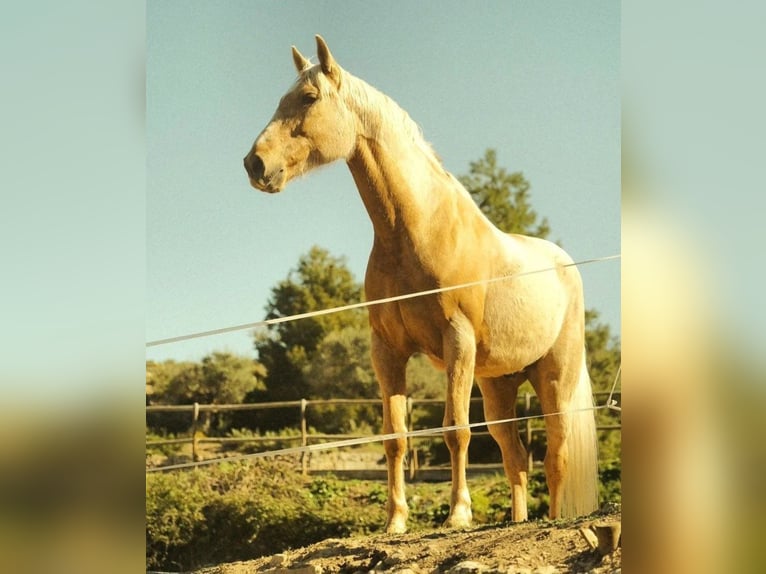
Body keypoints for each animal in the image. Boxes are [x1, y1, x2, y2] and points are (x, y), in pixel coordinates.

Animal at [246, 35, 600, 536]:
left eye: (309, 98)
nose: (255, 164)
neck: (414, 231)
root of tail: (565, 265)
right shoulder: (387, 349)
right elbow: (395, 436)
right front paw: (395, 521)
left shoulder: (457, 342)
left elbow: (455, 429)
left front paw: (458, 515)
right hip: (498, 385)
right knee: (515, 457)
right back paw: (516, 520)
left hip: (554, 381)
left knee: (556, 458)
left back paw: (549, 520)